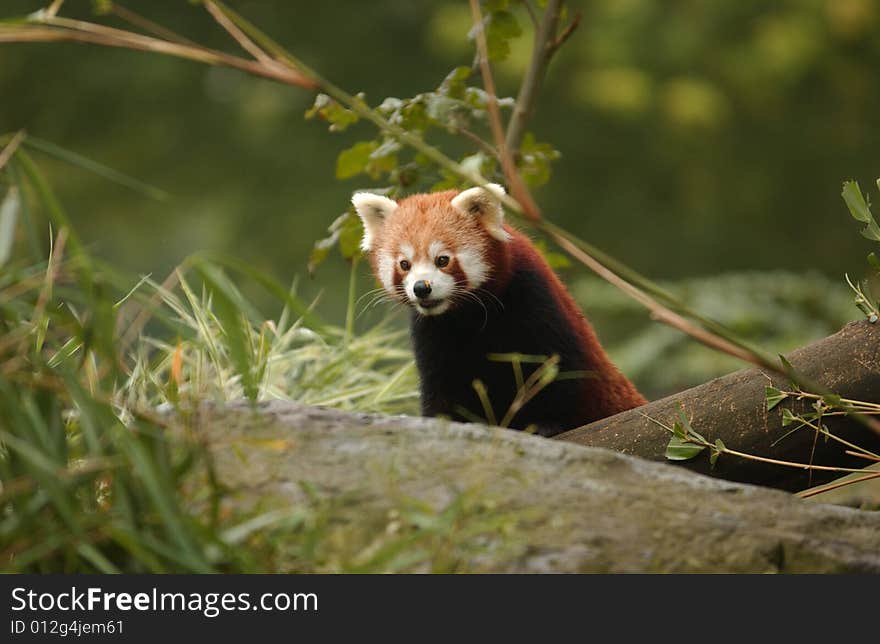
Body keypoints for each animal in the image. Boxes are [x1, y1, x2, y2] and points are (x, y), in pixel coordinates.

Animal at [350, 186, 648, 438]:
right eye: (404, 264)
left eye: (442, 260)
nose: (422, 288)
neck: (467, 316)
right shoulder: (432, 333)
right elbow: (442, 388)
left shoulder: (534, 298)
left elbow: (557, 369)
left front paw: (545, 423)